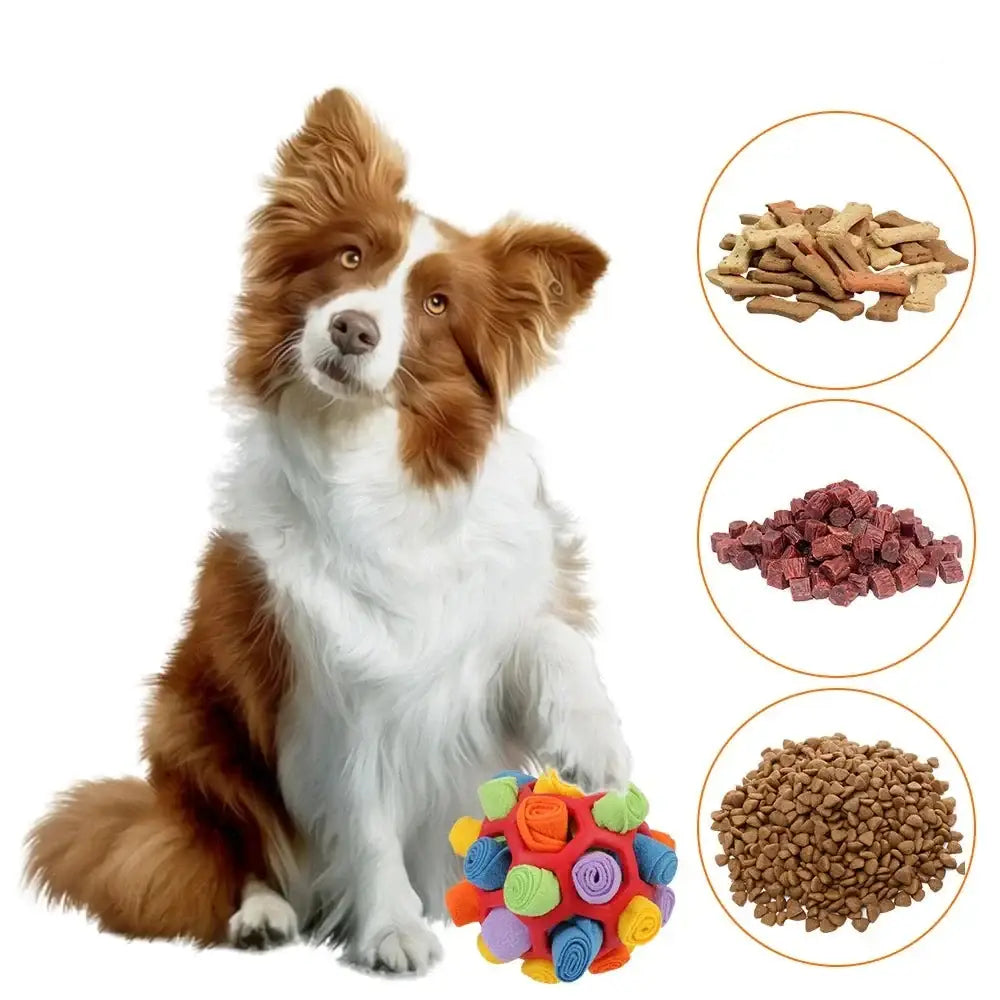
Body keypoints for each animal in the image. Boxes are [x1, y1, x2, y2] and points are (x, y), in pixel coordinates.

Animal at [27, 90, 628, 972]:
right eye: (349, 259)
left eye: (436, 305)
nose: (352, 329)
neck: (374, 461)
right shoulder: (332, 690)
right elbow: (365, 814)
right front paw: (392, 928)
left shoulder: (489, 642)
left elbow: (551, 640)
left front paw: (596, 739)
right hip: (192, 724)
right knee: (237, 843)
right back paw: (263, 913)